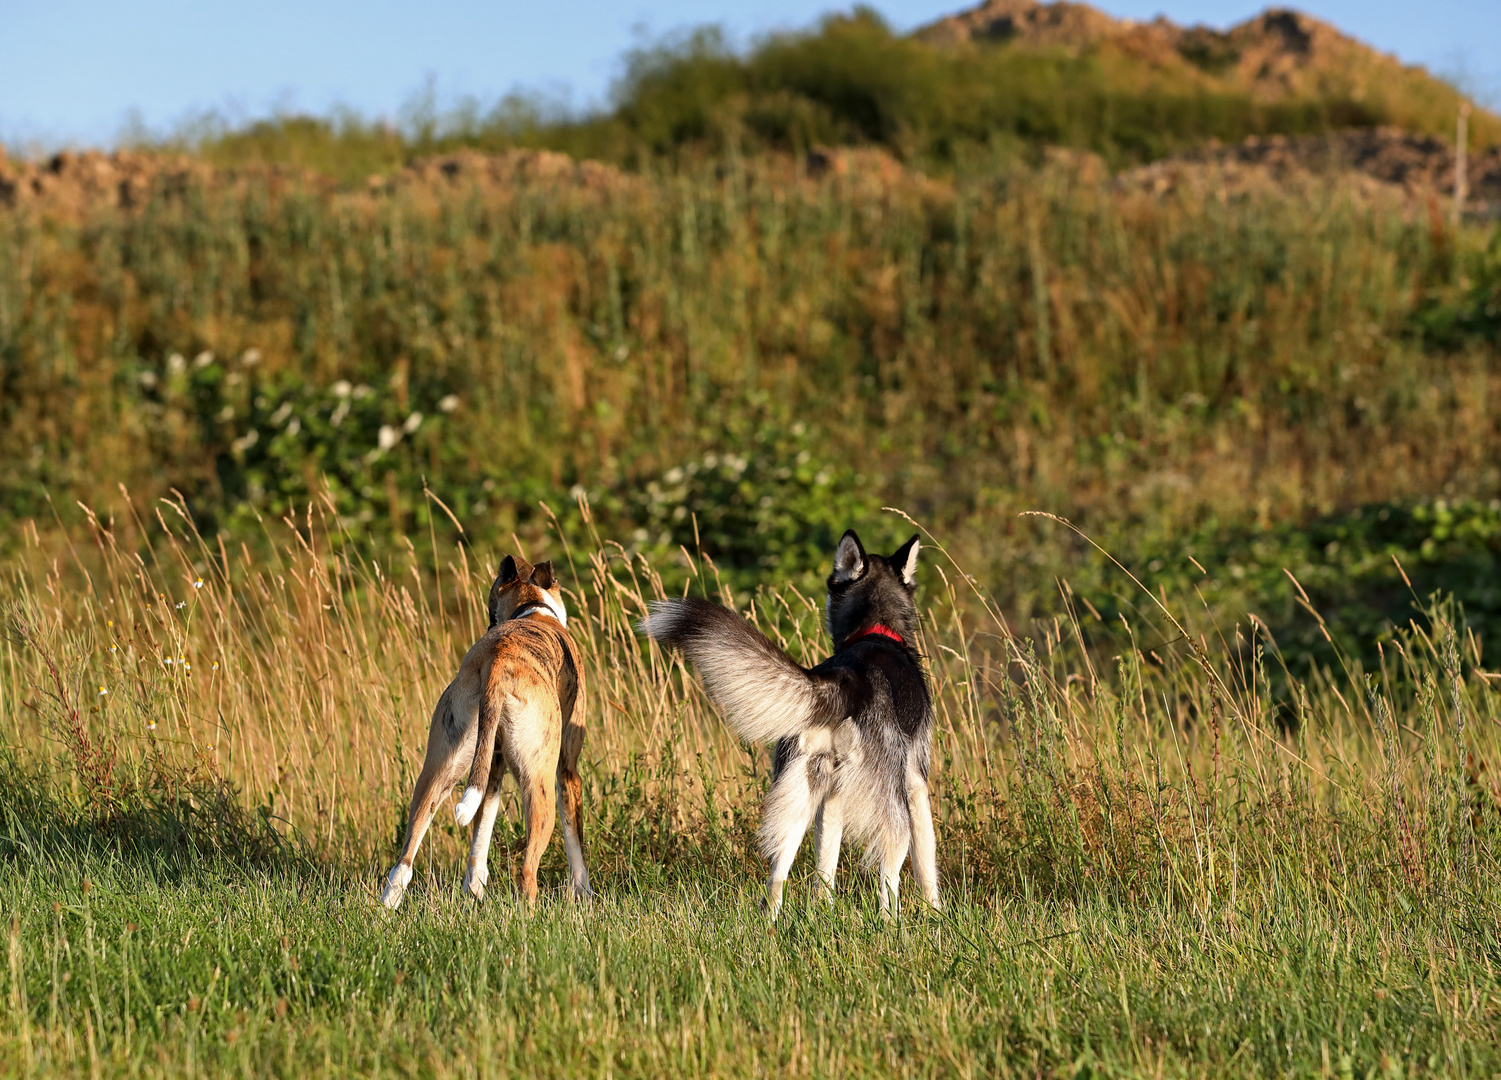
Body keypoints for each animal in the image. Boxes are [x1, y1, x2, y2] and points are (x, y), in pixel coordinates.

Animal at [378, 552, 588, 906]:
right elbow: (575, 842)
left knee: (404, 860)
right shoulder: (567, 771)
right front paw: (583, 895)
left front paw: (474, 887)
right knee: (527, 872)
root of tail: (499, 659)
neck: (534, 610)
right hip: (540, 785)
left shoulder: (492, 768)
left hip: (439, 772)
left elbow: (481, 831)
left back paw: (388, 905)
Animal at [642, 528, 936, 918]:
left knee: (777, 878)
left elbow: (824, 868)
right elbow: (927, 866)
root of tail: (845, 680)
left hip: (797, 799)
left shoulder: (832, 798)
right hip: (892, 813)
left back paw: (781, 922)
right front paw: (937, 914)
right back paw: (892, 927)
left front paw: (823, 909)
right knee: (889, 884)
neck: (876, 631)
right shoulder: (916, 783)